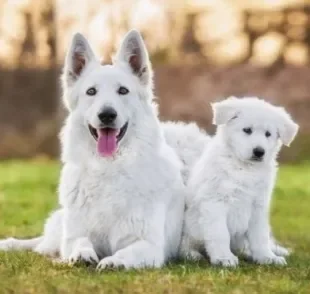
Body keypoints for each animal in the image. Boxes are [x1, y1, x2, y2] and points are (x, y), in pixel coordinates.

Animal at [0, 30, 185, 272]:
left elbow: (127, 252)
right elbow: (80, 241)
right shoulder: (74, 236)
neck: (108, 168)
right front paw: (82, 254)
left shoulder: (149, 246)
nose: (107, 115)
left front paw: (114, 261)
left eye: (123, 91)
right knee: (42, 244)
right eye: (91, 92)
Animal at [180, 96, 300, 266]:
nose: (259, 151)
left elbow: (260, 236)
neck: (245, 169)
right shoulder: (215, 202)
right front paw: (224, 258)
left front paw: (266, 257)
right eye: (247, 130)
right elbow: (220, 234)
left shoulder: (258, 206)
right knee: (186, 244)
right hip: (191, 227)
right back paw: (192, 254)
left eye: (268, 134)